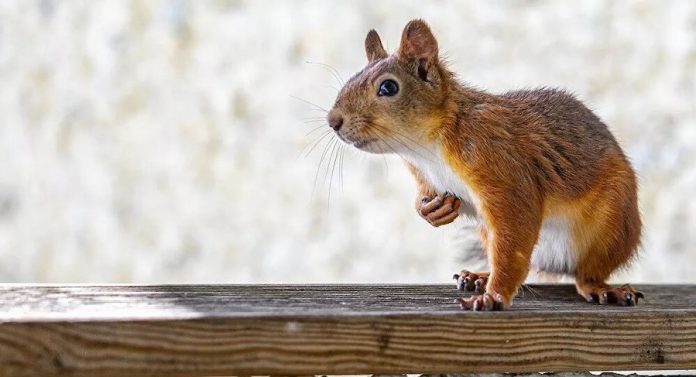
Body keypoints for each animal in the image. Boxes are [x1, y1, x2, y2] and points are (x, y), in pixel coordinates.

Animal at [324, 19, 640, 310]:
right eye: (350, 79)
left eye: (388, 87)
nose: (333, 121)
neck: (427, 149)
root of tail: (553, 261)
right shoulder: (425, 176)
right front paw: (429, 209)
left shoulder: (500, 167)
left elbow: (514, 230)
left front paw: (493, 297)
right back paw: (479, 275)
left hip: (612, 229)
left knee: (582, 272)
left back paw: (602, 288)